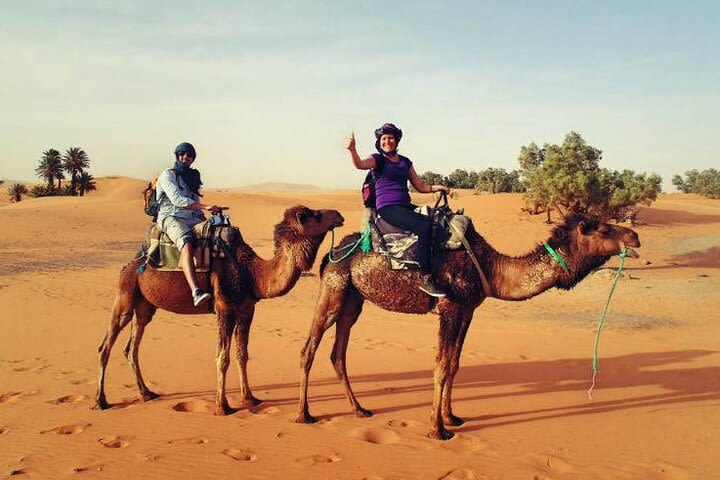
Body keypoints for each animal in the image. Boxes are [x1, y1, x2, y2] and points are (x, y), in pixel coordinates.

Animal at [95, 204, 344, 414]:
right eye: (312, 215)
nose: (339, 215)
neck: (252, 273)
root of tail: (131, 263)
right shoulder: (224, 309)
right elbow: (222, 357)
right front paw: (222, 406)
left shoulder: (246, 310)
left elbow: (242, 354)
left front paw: (250, 397)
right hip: (126, 294)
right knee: (106, 345)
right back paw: (101, 401)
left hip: (145, 306)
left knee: (132, 346)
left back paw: (146, 393)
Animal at [296, 214, 644, 438]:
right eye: (600, 229)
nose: (635, 236)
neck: (491, 268)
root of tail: (330, 254)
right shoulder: (450, 307)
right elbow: (440, 366)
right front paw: (437, 429)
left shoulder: (468, 309)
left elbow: (454, 364)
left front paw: (452, 416)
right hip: (333, 288)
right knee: (309, 348)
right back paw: (304, 414)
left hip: (353, 300)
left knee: (338, 353)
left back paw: (359, 410)